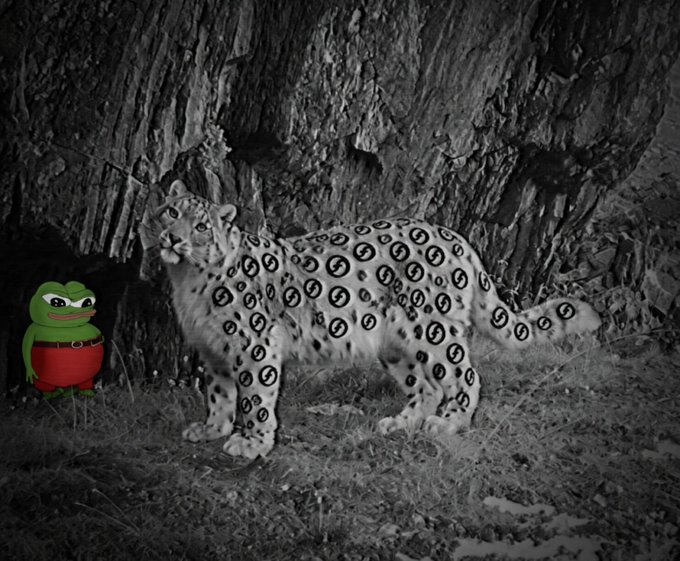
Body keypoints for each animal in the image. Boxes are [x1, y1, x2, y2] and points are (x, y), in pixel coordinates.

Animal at [150, 179, 601, 459]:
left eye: (201, 225)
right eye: (170, 211)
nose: (173, 238)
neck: (186, 280)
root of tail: (456, 238)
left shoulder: (254, 345)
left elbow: (255, 398)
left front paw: (252, 443)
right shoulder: (212, 351)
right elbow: (219, 395)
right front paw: (211, 429)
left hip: (434, 329)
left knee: (465, 377)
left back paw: (447, 424)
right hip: (396, 344)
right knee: (426, 385)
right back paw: (399, 423)